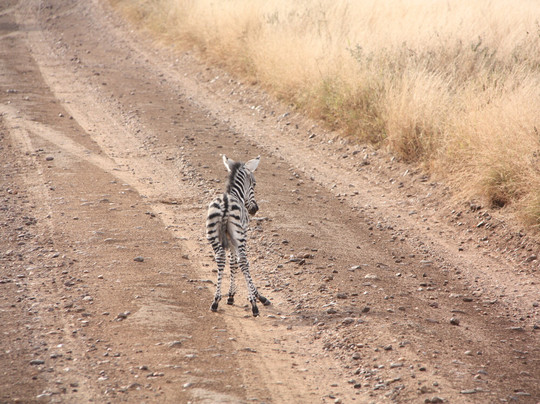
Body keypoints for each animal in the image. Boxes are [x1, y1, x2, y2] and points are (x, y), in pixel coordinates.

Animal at [206, 155, 271, 317]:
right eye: (254, 184)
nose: (255, 209)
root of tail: (225, 202)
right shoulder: (240, 236)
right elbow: (239, 263)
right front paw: (256, 297)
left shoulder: (229, 239)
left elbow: (231, 262)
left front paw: (230, 295)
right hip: (240, 236)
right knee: (243, 261)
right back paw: (254, 306)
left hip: (212, 235)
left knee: (220, 257)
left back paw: (215, 301)